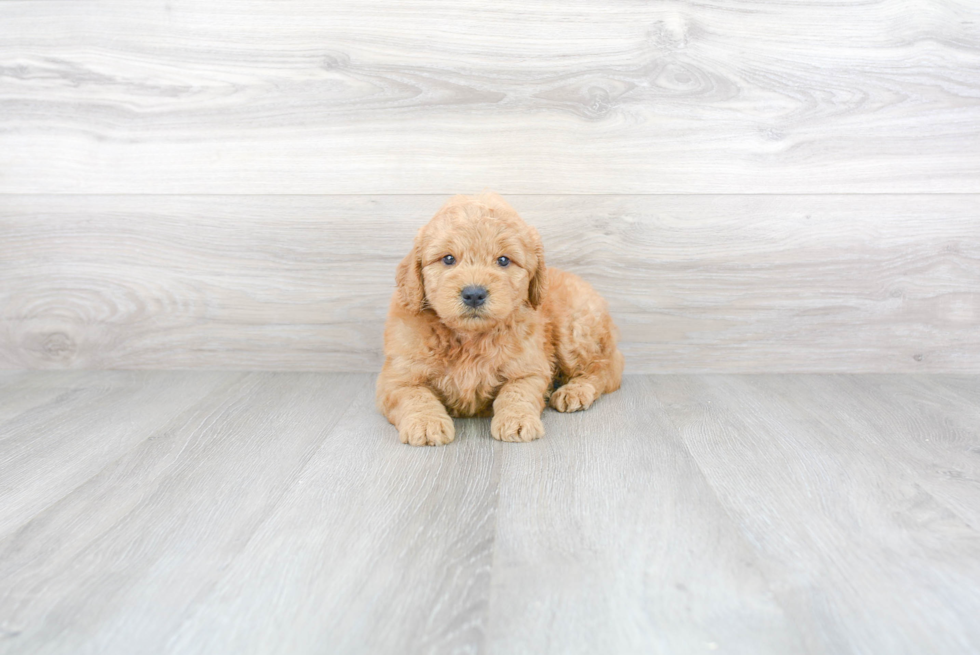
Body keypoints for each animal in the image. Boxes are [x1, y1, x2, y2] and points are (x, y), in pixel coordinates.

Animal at [376, 190, 620, 446]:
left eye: (503, 260)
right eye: (448, 259)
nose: (474, 294)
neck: (469, 339)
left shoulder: (530, 369)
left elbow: (516, 393)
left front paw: (517, 420)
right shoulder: (396, 378)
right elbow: (416, 395)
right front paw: (426, 423)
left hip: (574, 330)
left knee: (605, 368)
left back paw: (575, 390)